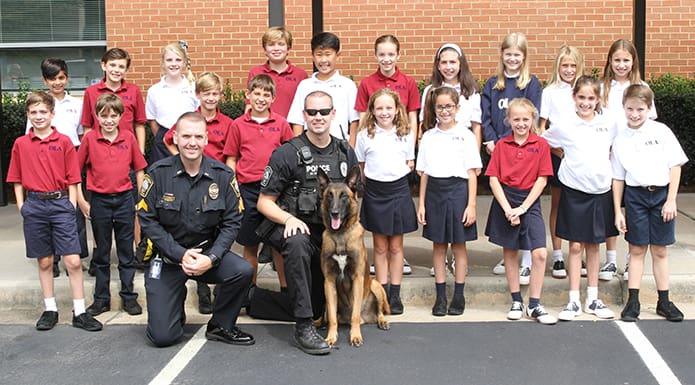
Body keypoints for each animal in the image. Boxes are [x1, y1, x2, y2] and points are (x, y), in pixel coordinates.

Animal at [316, 166, 388, 346]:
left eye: (343, 196)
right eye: (329, 195)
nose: (334, 213)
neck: (341, 235)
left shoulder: (357, 278)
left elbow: (355, 313)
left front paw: (355, 336)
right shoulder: (328, 281)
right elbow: (332, 317)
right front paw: (331, 337)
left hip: (376, 286)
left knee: (379, 311)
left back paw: (382, 321)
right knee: (326, 314)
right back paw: (318, 322)